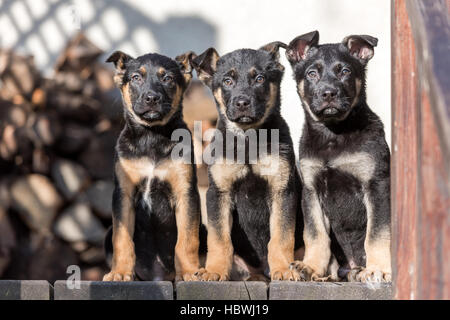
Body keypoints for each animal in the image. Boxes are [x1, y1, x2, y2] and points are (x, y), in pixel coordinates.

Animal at [103, 51, 201, 282]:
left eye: (168, 79)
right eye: (136, 77)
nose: (152, 98)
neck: (151, 136)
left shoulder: (186, 192)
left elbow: (187, 238)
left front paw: (190, 273)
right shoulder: (123, 193)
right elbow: (122, 239)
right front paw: (120, 273)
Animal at [192, 43, 304, 282]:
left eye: (259, 78)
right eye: (227, 81)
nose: (242, 102)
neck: (248, 138)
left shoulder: (282, 190)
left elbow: (281, 236)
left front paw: (283, 269)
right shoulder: (218, 193)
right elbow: (219, 239)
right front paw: (215, 270)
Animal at [286, 30, 392, 282]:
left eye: (345, 71)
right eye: (312, 73)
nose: (329, 93)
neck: (333, 134)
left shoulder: (376, 184)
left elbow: (376, 233)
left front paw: (379, 269)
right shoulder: (311, 190)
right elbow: (315, 234)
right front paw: (311, 266)